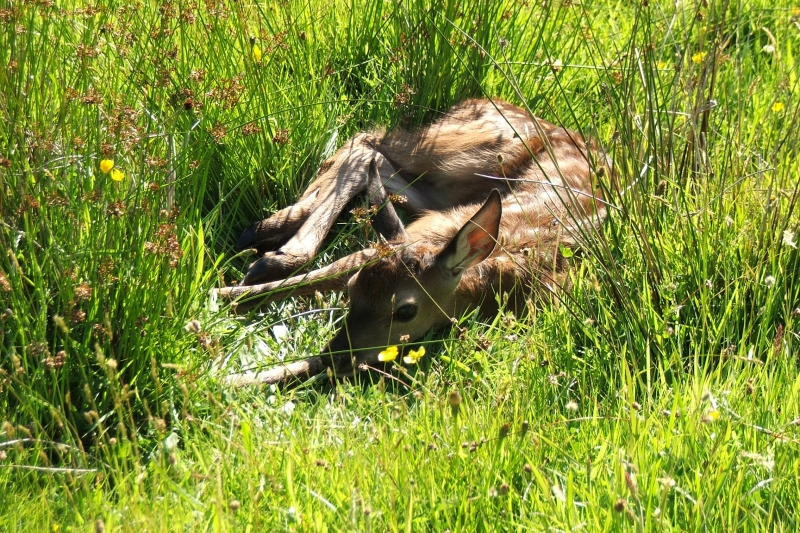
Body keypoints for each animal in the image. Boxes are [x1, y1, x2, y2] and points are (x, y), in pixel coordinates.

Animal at [216, 99, 611, 386]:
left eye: (405, 310)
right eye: (354, 290)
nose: (337, 353)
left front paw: (231, 377)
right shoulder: (420, 235)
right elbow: (332, 270)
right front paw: (221, 300)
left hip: (446, 183)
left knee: (372, 154)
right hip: (462, 155)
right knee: (369, 141)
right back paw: (271, 237)